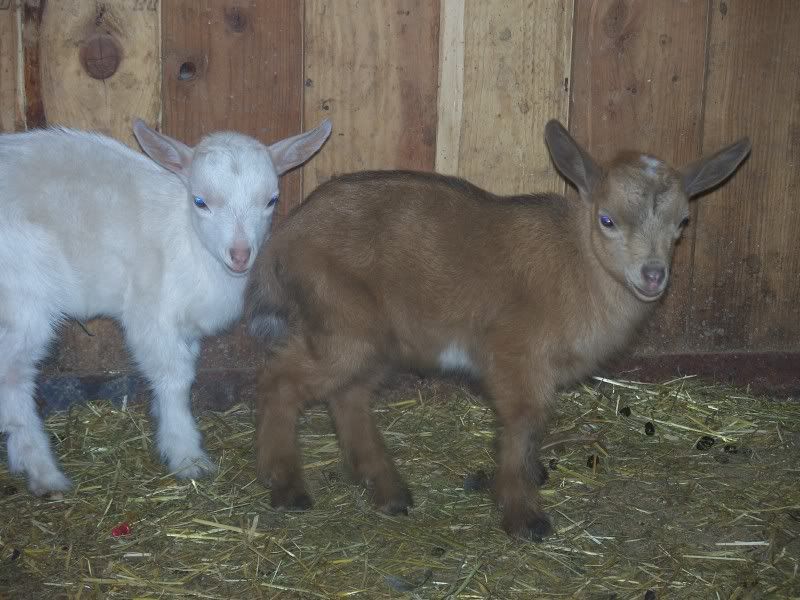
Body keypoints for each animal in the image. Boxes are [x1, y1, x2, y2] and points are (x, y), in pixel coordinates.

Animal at [0, 118, 331, 495]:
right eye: (200, 201)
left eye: (271, 200)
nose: (240, 255)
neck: (191, 242)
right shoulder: (150, 314)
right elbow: (175, 377)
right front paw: (185, 453)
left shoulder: (186, 327)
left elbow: (183, 370)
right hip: (24, 294)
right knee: (13, 374)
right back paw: (43, 471)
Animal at [247, 120, 749, 540]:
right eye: (607, 219)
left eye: (683, 222)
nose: (652, 276)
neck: (578, 263)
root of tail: (284, 239)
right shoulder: (516, 354)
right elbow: (523, 422)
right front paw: (523, 515)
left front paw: (531, 482)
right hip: (342, 319)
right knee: (281, 379)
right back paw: (287, 486)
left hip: (364, 332)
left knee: (347, 395)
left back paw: (388, 490)